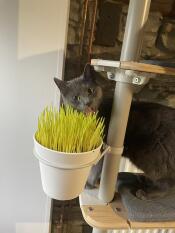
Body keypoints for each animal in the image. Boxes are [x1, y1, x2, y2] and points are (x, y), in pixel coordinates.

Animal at [54, 64, 175, 200]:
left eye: (90, 90)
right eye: (76, 97)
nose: (87, 103)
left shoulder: (102, 147)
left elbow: (96, 167)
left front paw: (88, 184)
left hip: (151, 155)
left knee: (168, 181)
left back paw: (147, 193)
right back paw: (143, 179)